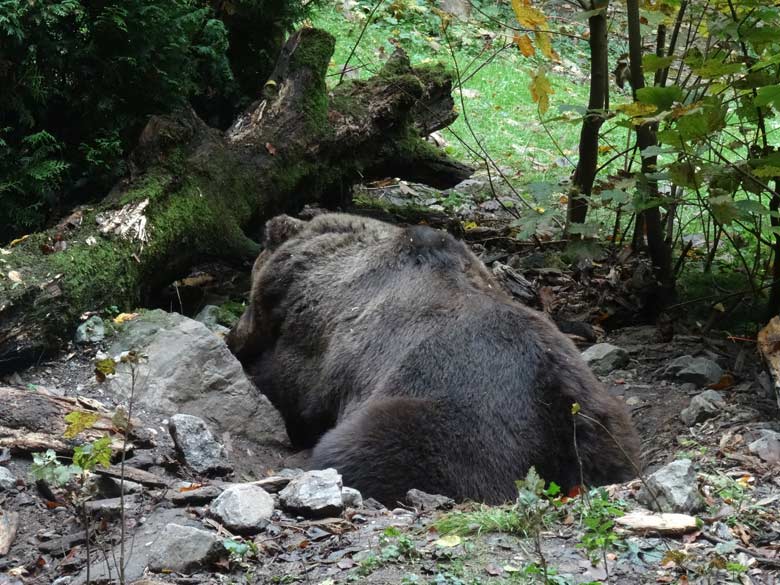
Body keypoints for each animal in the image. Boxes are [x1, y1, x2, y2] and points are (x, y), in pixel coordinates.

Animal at [227, 212, 640, 504]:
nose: (233, 334)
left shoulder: (318, 347)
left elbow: (287, 383)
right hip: (602, 423)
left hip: (444, 422)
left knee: (368, 449)